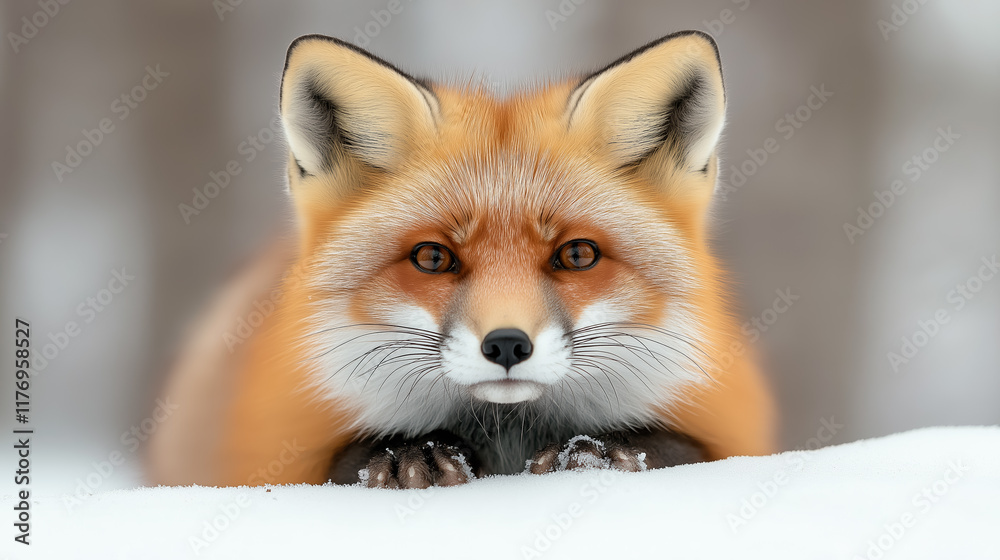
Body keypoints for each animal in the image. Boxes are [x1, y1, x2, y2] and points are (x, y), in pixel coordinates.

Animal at [147, 31, 776, 489]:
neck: (507, 439)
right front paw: (412, 453)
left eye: (577, 254)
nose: (507, 345)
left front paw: (599, 450)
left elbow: (681, 448)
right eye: (432, 257)